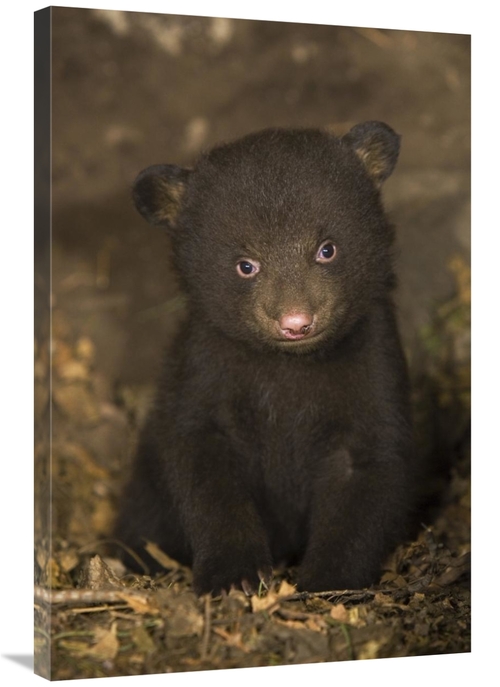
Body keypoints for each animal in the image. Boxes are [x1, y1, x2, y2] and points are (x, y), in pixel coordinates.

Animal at [114, 122, 417, 596]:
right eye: (245, 265)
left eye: (327, 249)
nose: (296, 322)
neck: (288, 366)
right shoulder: (204, 372)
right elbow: (204, 470)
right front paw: (232, 575)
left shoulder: (375, 367)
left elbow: (367, 474)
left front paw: (328, 582)